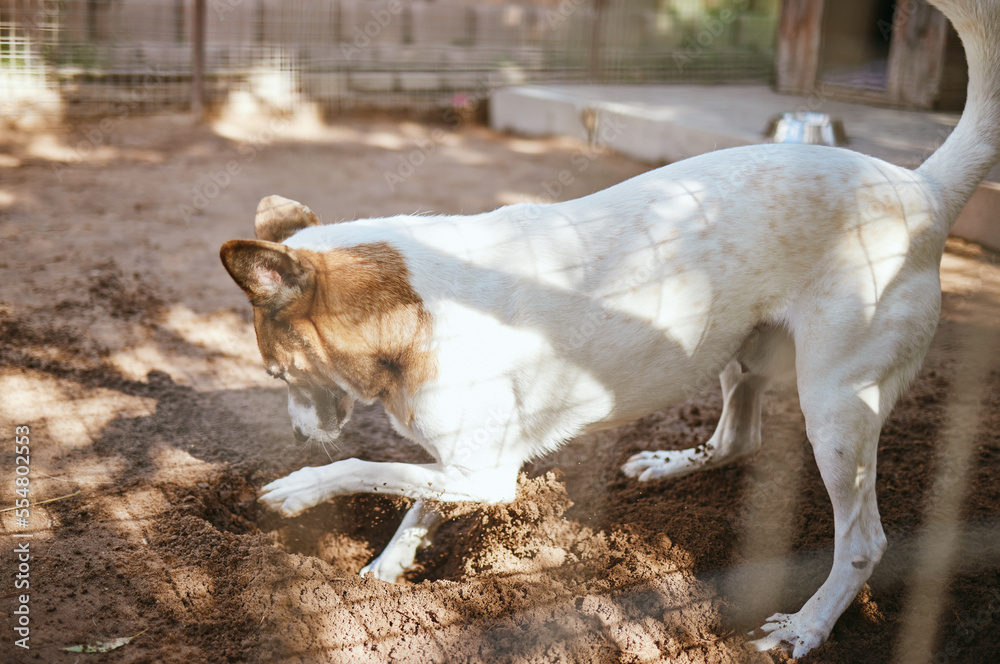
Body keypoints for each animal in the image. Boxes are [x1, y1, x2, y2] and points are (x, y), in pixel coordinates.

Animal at [221, 0, 1000, 652]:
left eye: (279, 373)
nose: (298, 435)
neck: (407, 307)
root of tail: (923, 186)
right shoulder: (462, 464)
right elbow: (416, 500)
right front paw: (387, 570)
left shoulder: (488, 474)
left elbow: (369, 469)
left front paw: (295, 490)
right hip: (741, 348)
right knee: (740, 436)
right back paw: (669, 466)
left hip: (838, 410)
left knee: (864, 540)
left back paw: (806, 628)